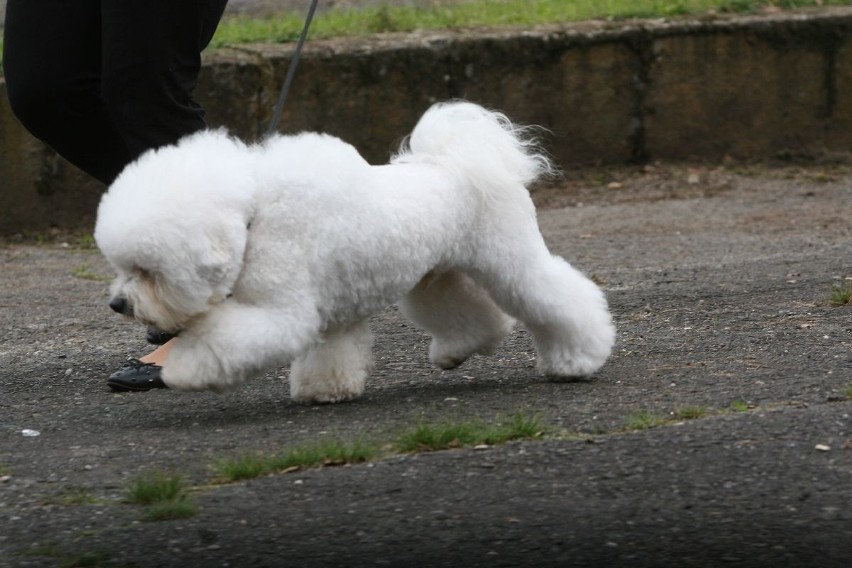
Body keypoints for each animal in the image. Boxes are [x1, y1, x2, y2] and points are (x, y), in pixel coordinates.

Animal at [96, 102, 616, 404]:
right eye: (121, 268)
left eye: (148, 271)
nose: (118, 304)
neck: (252, 218)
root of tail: (459, 163)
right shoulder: (331, 310)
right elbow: (331, 352)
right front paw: (325, 391)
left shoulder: (282, 310)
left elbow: (224, 342)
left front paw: (181, 369)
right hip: (434, 276)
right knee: (470, 314)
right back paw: (456, 351)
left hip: (509, 260)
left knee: (556, 297)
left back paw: (577, 361)